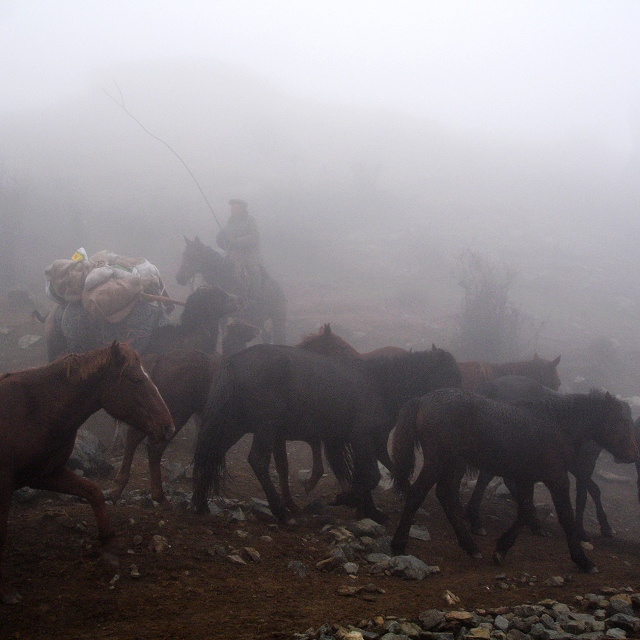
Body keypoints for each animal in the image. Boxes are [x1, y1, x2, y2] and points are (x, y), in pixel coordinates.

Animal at [0, 342, 175, 604]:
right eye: (135, 379)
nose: (168, 428)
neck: (35, 409)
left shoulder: (45, 474)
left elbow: (93, 491)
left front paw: (107, 538)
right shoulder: (5, 484)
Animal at [388, 388, 636, 572]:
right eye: (621, 420)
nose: (632, 454)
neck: (557, 424)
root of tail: (423, 400)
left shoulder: (526, 478)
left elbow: (525, 510)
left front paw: (502, 548)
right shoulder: (556, 477)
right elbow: (565, 516)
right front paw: (582, 560)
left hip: (452, 464)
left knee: (446, 496)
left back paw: (471, 546)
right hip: (438, 461)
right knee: (418, 494)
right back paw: (399, 544)